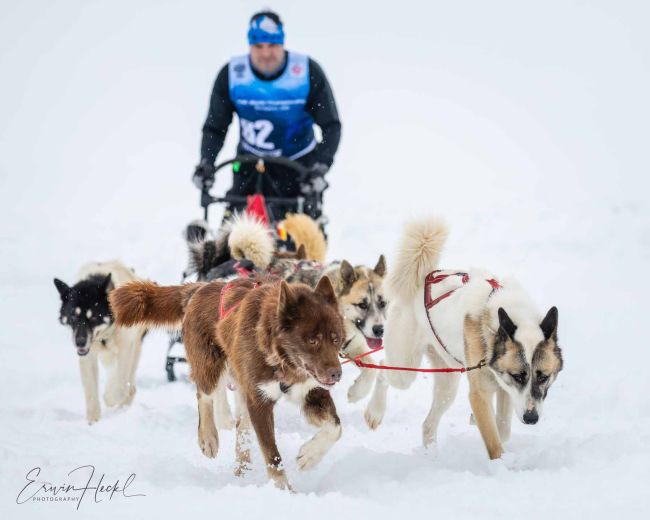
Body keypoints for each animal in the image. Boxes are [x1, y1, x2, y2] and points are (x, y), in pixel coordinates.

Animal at [54, 261, 147, 424]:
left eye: (93, 317)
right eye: (73, 317)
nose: (80, 342)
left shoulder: (126, 348)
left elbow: (120, 387)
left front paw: (111, 397)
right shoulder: (88, 356)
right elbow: (91, 391)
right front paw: (93, 421)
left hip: (134, 348)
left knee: (128, 386)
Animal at [109, 275, 345, 490]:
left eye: (335, 338)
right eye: (312, 340)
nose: (336, 374)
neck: (280, 360)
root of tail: (200, 288)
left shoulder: (310, 391)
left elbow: (335, 427)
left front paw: (310, 455)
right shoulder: (259, 401)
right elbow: (273, 457)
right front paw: (284, 490)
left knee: (242, 428)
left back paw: (242, 470)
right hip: (212, 366)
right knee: (204, 394)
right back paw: (208, 438)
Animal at [363, 217, 563, 459]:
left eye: (543, 376)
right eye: (518, 376)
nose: (531, 418)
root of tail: (423, 278)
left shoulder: (504, 389)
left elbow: (503, 428)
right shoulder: (481, 393)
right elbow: (494, 440)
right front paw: (500, 463)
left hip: (447, 382)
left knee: (428, 424)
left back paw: (432, 454)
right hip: (405, 368)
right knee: (383, 369)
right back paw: (374, 411)